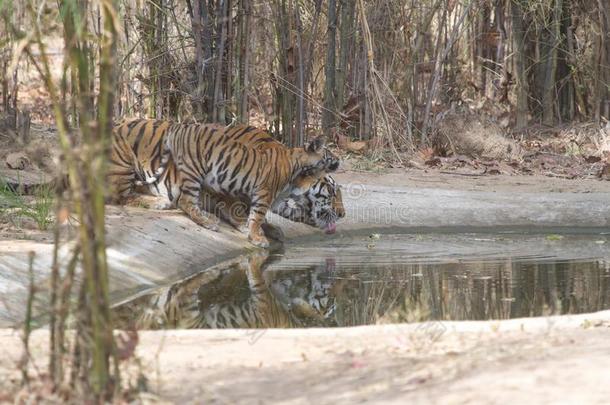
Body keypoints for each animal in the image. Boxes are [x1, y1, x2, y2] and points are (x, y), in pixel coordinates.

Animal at [107, 118, 340, 248]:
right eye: (332, 190)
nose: (342, 214)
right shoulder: (253, 189)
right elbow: (250, 213)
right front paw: (254, 233)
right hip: (133, 164)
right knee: (124, 196)